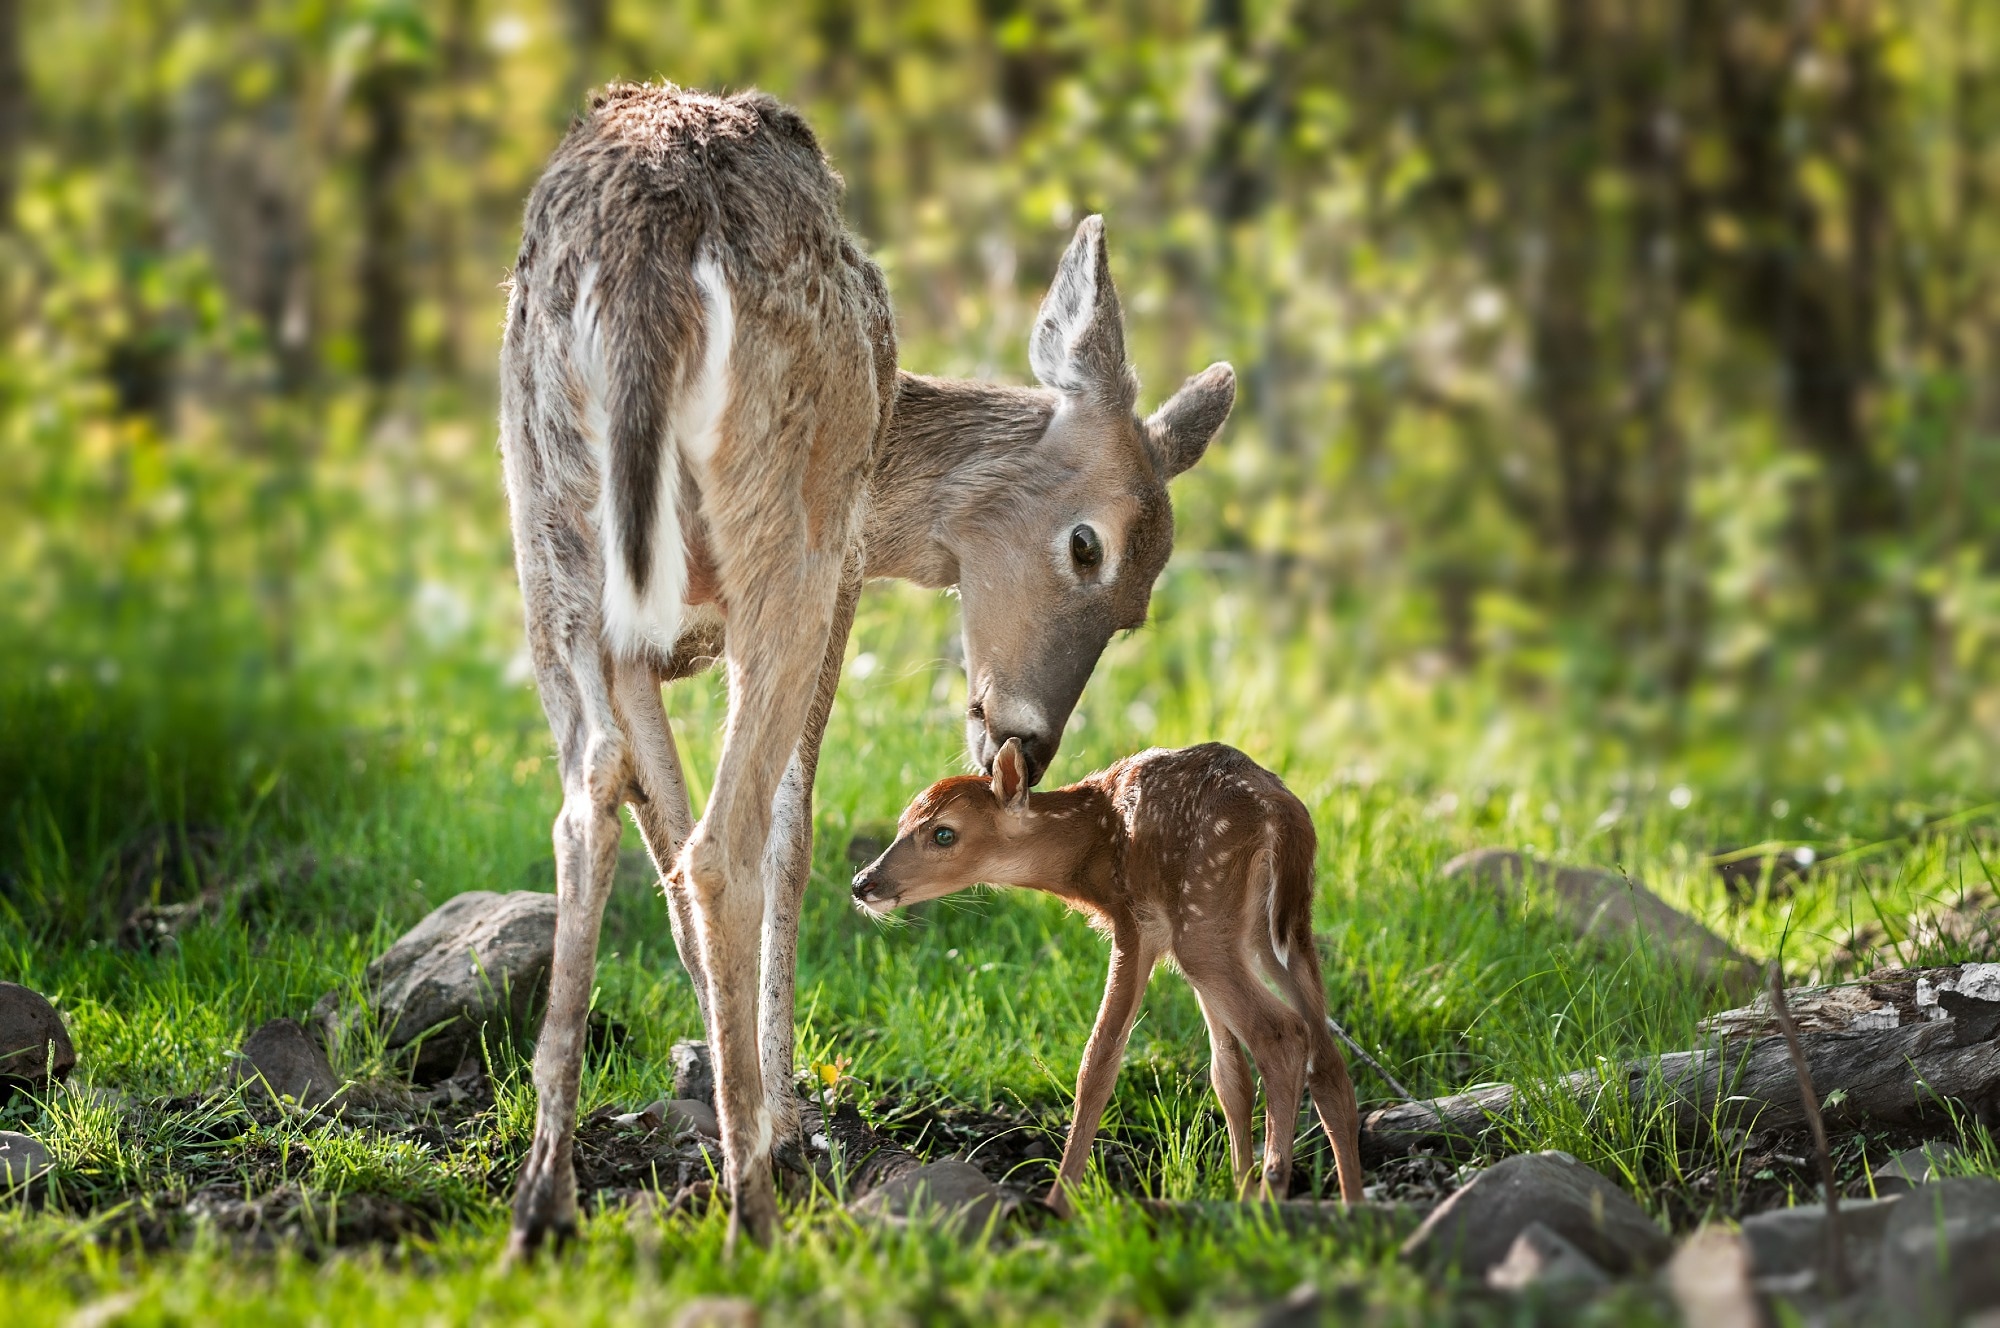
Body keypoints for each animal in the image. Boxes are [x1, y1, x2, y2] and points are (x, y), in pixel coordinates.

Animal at [498, 83, 1235, 1257]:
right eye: (1090, 548)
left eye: (1138, 610)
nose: (1025, 741)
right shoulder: (844, 569)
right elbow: (791, 829)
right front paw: (778, 1116)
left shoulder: (639, 646)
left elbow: (650, 822)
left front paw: (723, 1084)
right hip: (788, 532)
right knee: (727, 840)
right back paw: (752, 1206)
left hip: (547, 519)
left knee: (590, 802)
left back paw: (543, 1201)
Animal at [849, 738, 1366, 1214]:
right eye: (901, 822)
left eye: (944, 834)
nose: (862, 883)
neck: (1089, 855)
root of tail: (1282, 817)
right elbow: (1229, 1076)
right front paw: (1236, 1186)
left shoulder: (1136, 922)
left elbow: (1098, 1062)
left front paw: (1059, 1203)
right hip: (1277, 930)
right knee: (1327, 1061)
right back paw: (1349, 1205)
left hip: (1203, 917)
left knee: (1281, 1034)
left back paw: (1272, 1195)